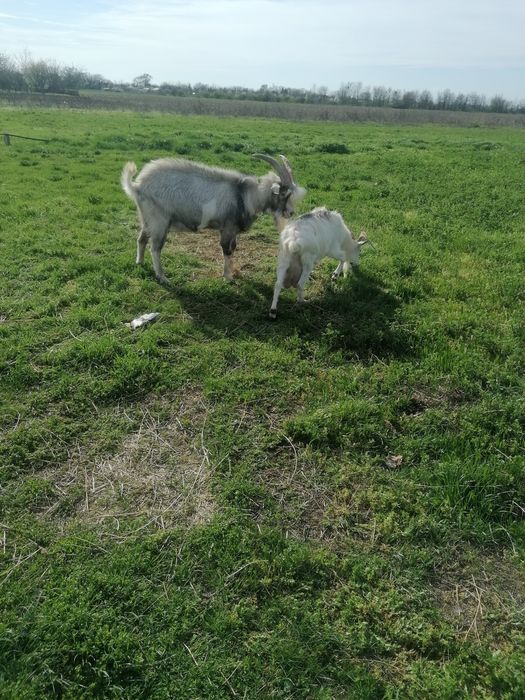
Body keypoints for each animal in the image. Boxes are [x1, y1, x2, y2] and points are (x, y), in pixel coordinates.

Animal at [121, 154, 305, 284]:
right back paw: (162, 276)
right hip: (159, 221)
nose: (290, 213)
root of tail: (137, 186)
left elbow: (234, 248)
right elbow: (226, 250)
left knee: (141, 239)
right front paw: (228, 277)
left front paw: (233, 273)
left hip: (147, 220)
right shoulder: (228, 228)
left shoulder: (232, 230)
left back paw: (140, 262)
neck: (244, 195)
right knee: (155, 247)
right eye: (284, 194)